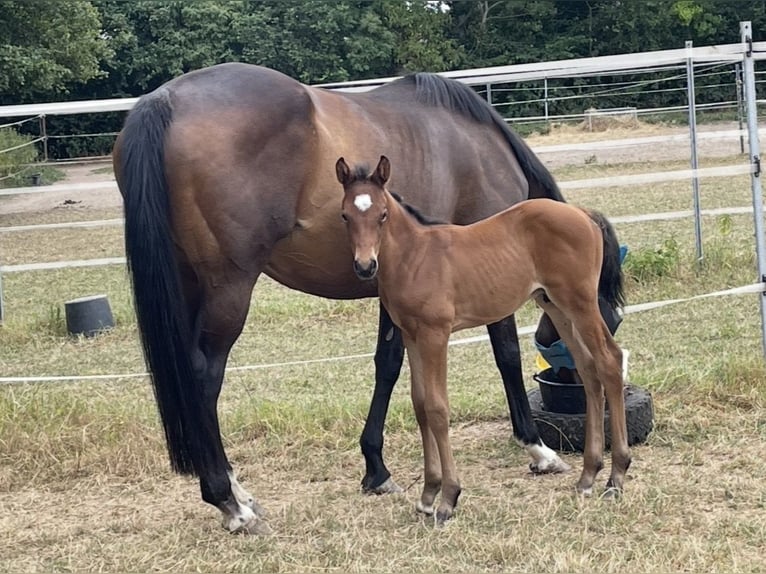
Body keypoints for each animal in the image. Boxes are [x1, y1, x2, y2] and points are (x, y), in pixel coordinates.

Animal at [114, 62, 581, 534]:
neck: (480, 151)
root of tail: (165, 100)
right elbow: (506, 355)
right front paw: (537, 448)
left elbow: (388, 366)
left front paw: (376, 468)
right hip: (228, 288)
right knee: (203, 376)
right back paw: (229, 503)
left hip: (189, 283)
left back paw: (237, 491)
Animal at [336, 155, 629, 524]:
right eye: (345, 215)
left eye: (383, 214)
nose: (365, 266)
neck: (415, 257)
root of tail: (583, 213)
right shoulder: (411, 335)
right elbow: (419, 405)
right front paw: (428, 494)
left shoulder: (435, 334)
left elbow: (437, 408)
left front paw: (448, 498)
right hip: (556, 306)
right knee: (589, 370)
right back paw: (588, 475)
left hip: (580, 303)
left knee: (609, 361)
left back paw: (616, 476)